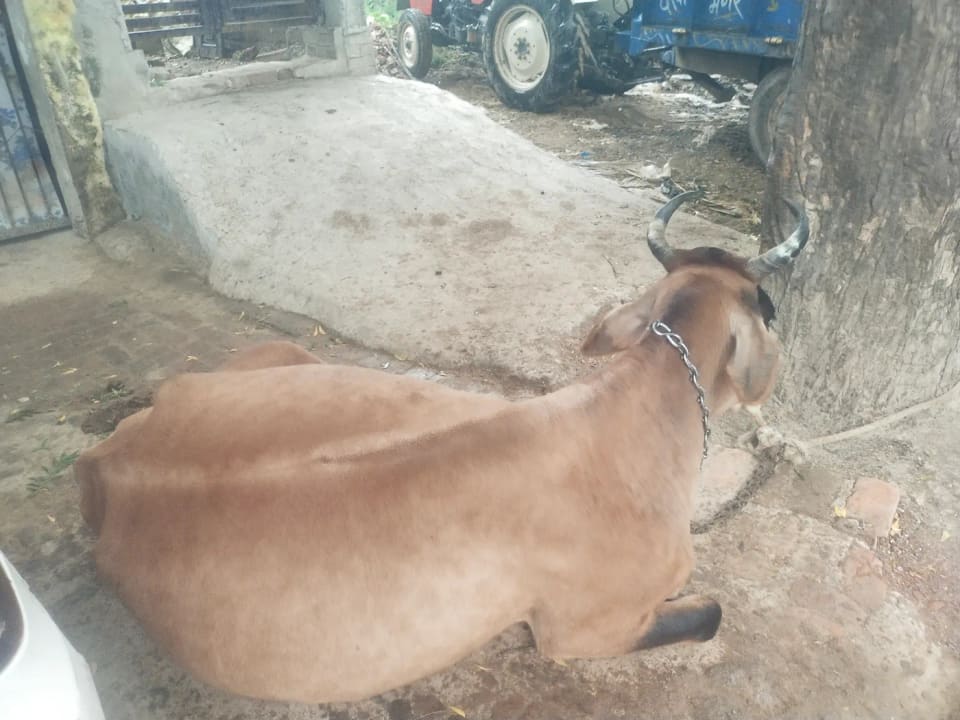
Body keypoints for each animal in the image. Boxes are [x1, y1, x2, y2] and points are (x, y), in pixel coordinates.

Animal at [74, 191, 808, 704]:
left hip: (280, 356)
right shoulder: (583, 629)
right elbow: (711, 613)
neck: (638, 411)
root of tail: (103, 465)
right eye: (767, 305)